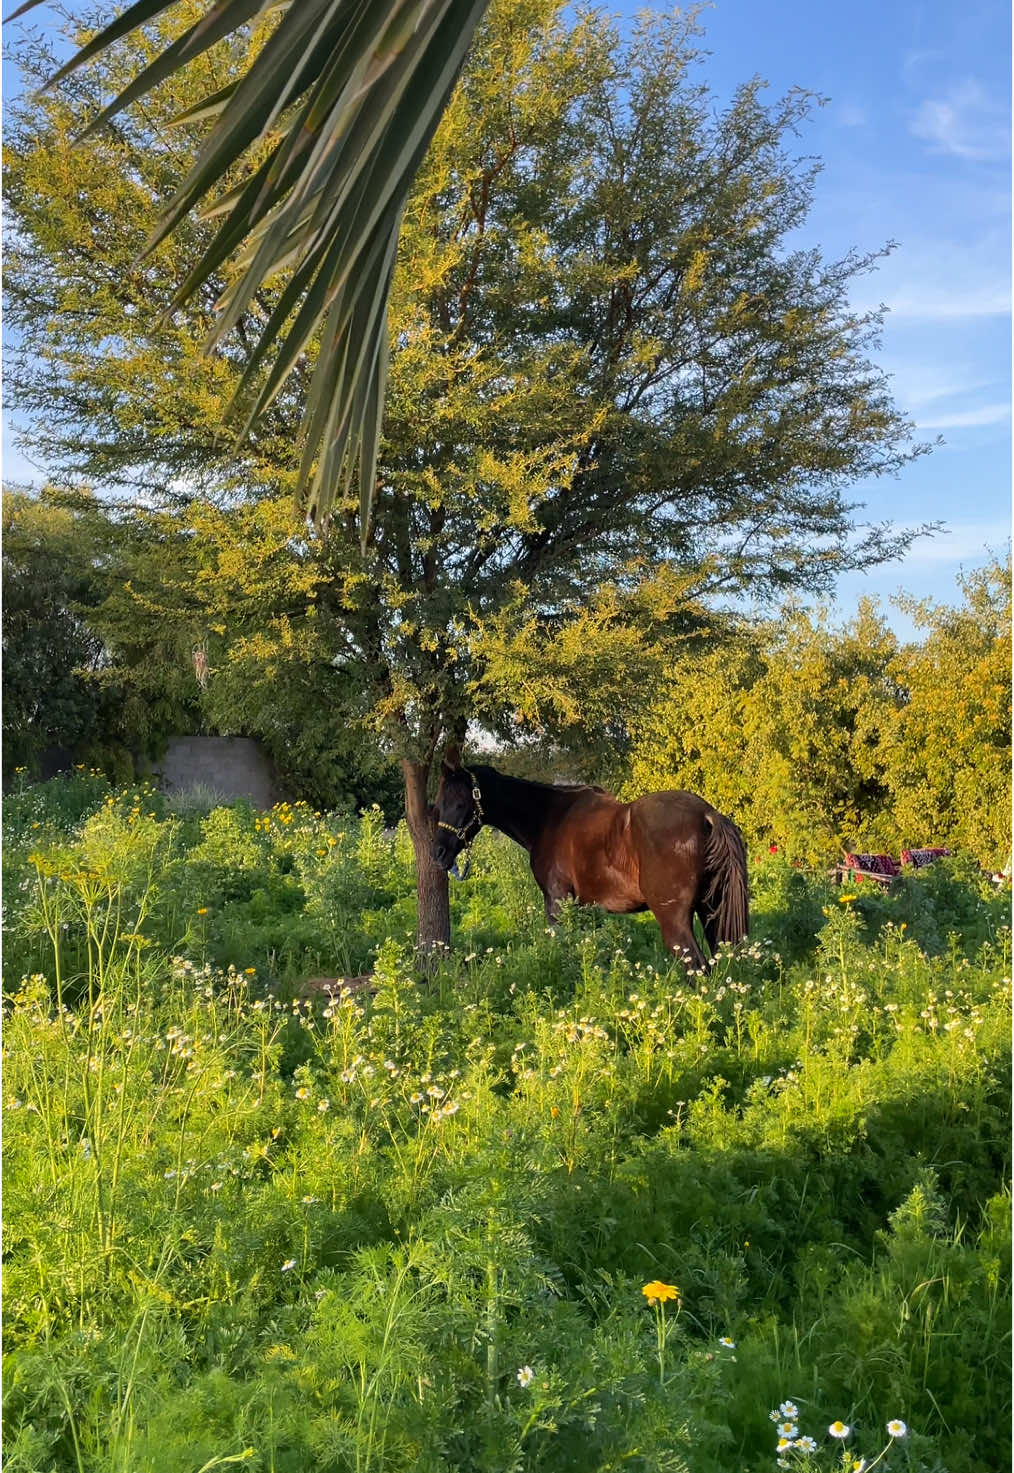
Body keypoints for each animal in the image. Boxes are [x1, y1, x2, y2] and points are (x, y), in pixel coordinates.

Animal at [427, 760, 745, 966]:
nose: (438, 853)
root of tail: (707, 815)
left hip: (675, 921)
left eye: (461, 804)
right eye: (438, 804)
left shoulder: (556, 903)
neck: (549, 817)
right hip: (711, 911)